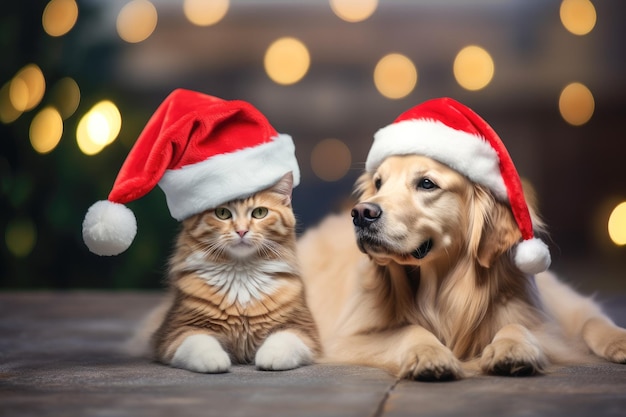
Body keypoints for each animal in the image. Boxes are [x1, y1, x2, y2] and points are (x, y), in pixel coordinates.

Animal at [150, 171, 316, 372]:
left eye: (260, 213)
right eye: (222, 213)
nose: (242, 231)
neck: (241, 272)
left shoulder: (303, 329)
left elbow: (284, 339)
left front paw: (271, 357)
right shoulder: (176, 330)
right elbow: (199, 342)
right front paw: (214, 360)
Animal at [298, 98, 624, 380]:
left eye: (426, 184)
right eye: (379, 183)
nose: (361, 213)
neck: (441, 288)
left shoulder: (545, 328)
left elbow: (519, 325)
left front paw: (513, 349)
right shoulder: (346, 338)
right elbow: (407, 330)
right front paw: (428, 354)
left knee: (590, 316)